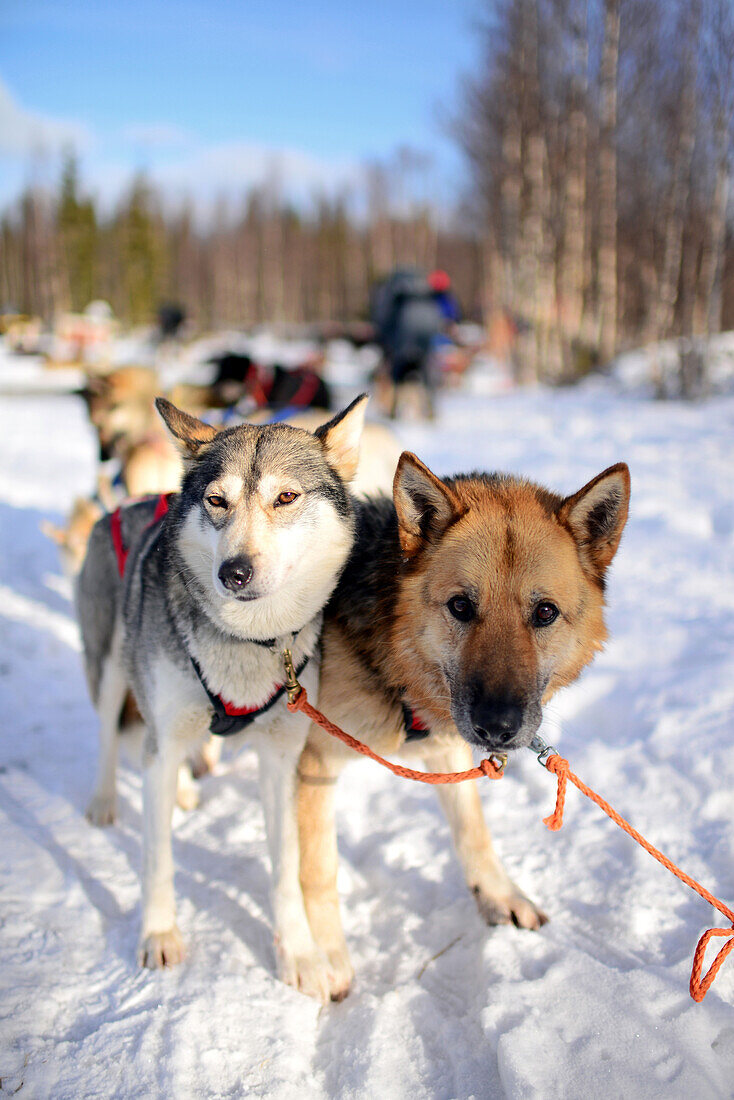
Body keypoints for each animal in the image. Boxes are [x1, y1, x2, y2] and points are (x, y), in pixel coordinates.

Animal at [75, 393, 367, 998]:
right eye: (216, 500)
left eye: (286, 497)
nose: (234, 571)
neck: (249, 640)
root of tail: (125, 503)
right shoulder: (163, 737)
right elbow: (157, 858)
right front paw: (159, 934)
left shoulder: (280, 758)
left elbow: (285, 870)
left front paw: (299, 956)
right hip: (111, 667)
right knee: (112, 737)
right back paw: (105, 799)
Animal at [299, 451, 633, 1003]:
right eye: (461, 605)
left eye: (545, 612)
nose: (497, 726)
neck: (399, 673)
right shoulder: (314, 763)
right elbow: (319, 871)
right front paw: (327, 958)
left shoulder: (446, 748)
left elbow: (472, 829)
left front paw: (498, 894)